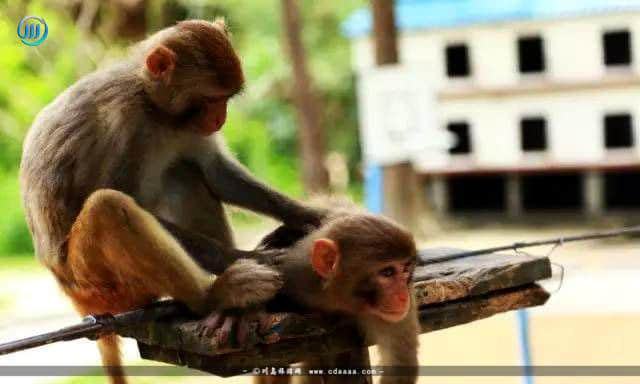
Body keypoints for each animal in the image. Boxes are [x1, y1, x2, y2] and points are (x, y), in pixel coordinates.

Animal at [20, 18, 324, 384]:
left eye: (226, 99)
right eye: (210, 98)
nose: (220, 118)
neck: (157, 109)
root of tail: (77, 298)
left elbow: (215, 173)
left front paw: (308, 216)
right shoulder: (126, 124)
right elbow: (128, 198)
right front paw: (250, 256)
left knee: (183, 174)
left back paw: (235, 311)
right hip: (99, 283)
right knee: (108, 207)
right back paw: (214, 295)